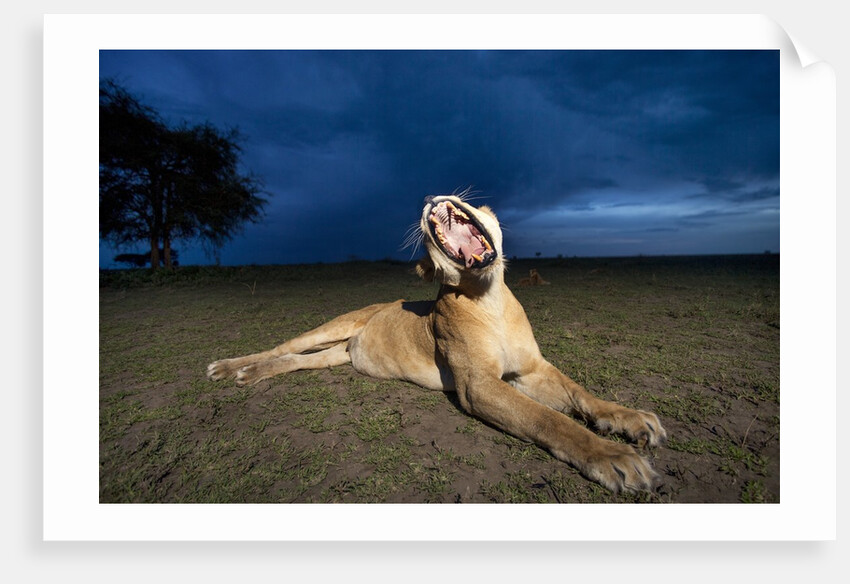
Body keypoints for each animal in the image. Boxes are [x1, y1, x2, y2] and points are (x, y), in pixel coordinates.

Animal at [207, 194, 666, 493]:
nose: (430, 197)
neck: (490, 297)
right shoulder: (477, 385)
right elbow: (550, 420)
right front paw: (613, 458)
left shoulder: (531, 370)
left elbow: (581, 395)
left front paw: (633, 420)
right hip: (333, 325)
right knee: (281, 347)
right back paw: (231, 367)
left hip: (334, 355)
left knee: (294, 361)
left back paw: (250, 374)